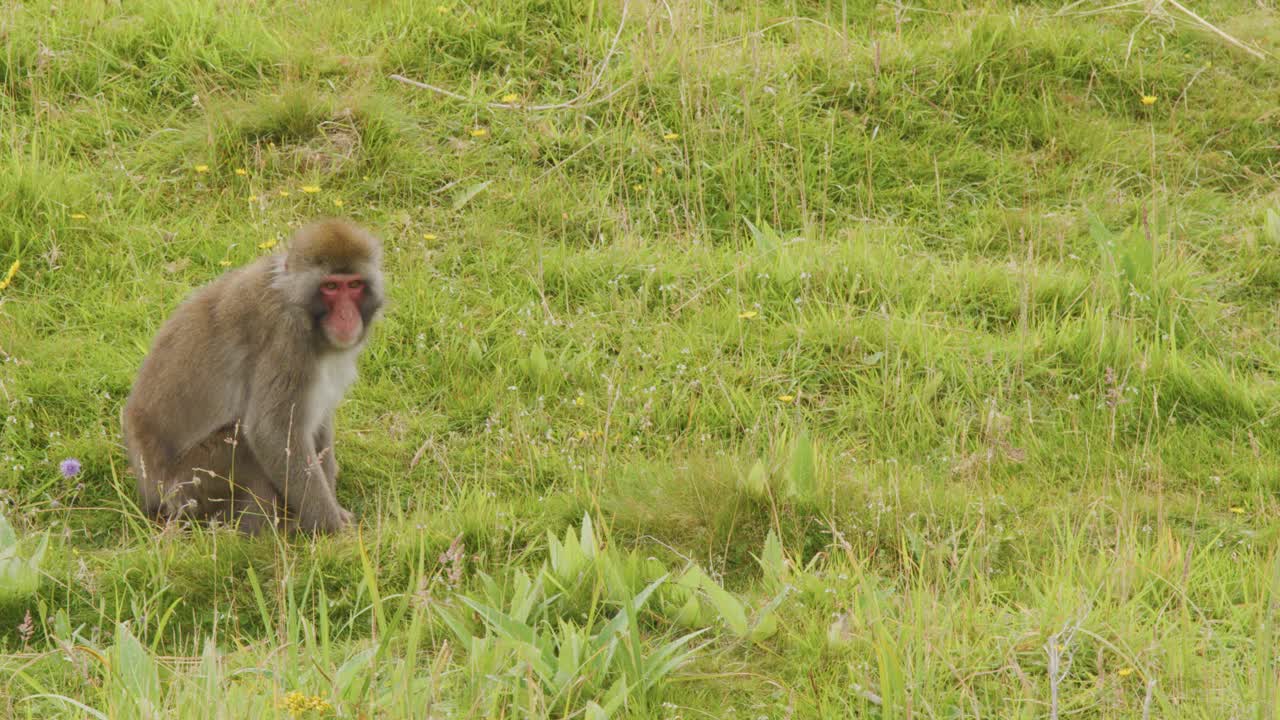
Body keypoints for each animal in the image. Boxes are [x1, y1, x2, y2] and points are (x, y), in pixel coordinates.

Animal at [121, 218, 384, 535]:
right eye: (331, 287)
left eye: (354, 285)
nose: (346, 316)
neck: (296, 301)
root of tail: (148, 492)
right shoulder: (286, 340)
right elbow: (272, 433)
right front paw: (332, 530)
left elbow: (318, 421)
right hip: (186, 488)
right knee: (244, 448)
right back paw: (263, 532)